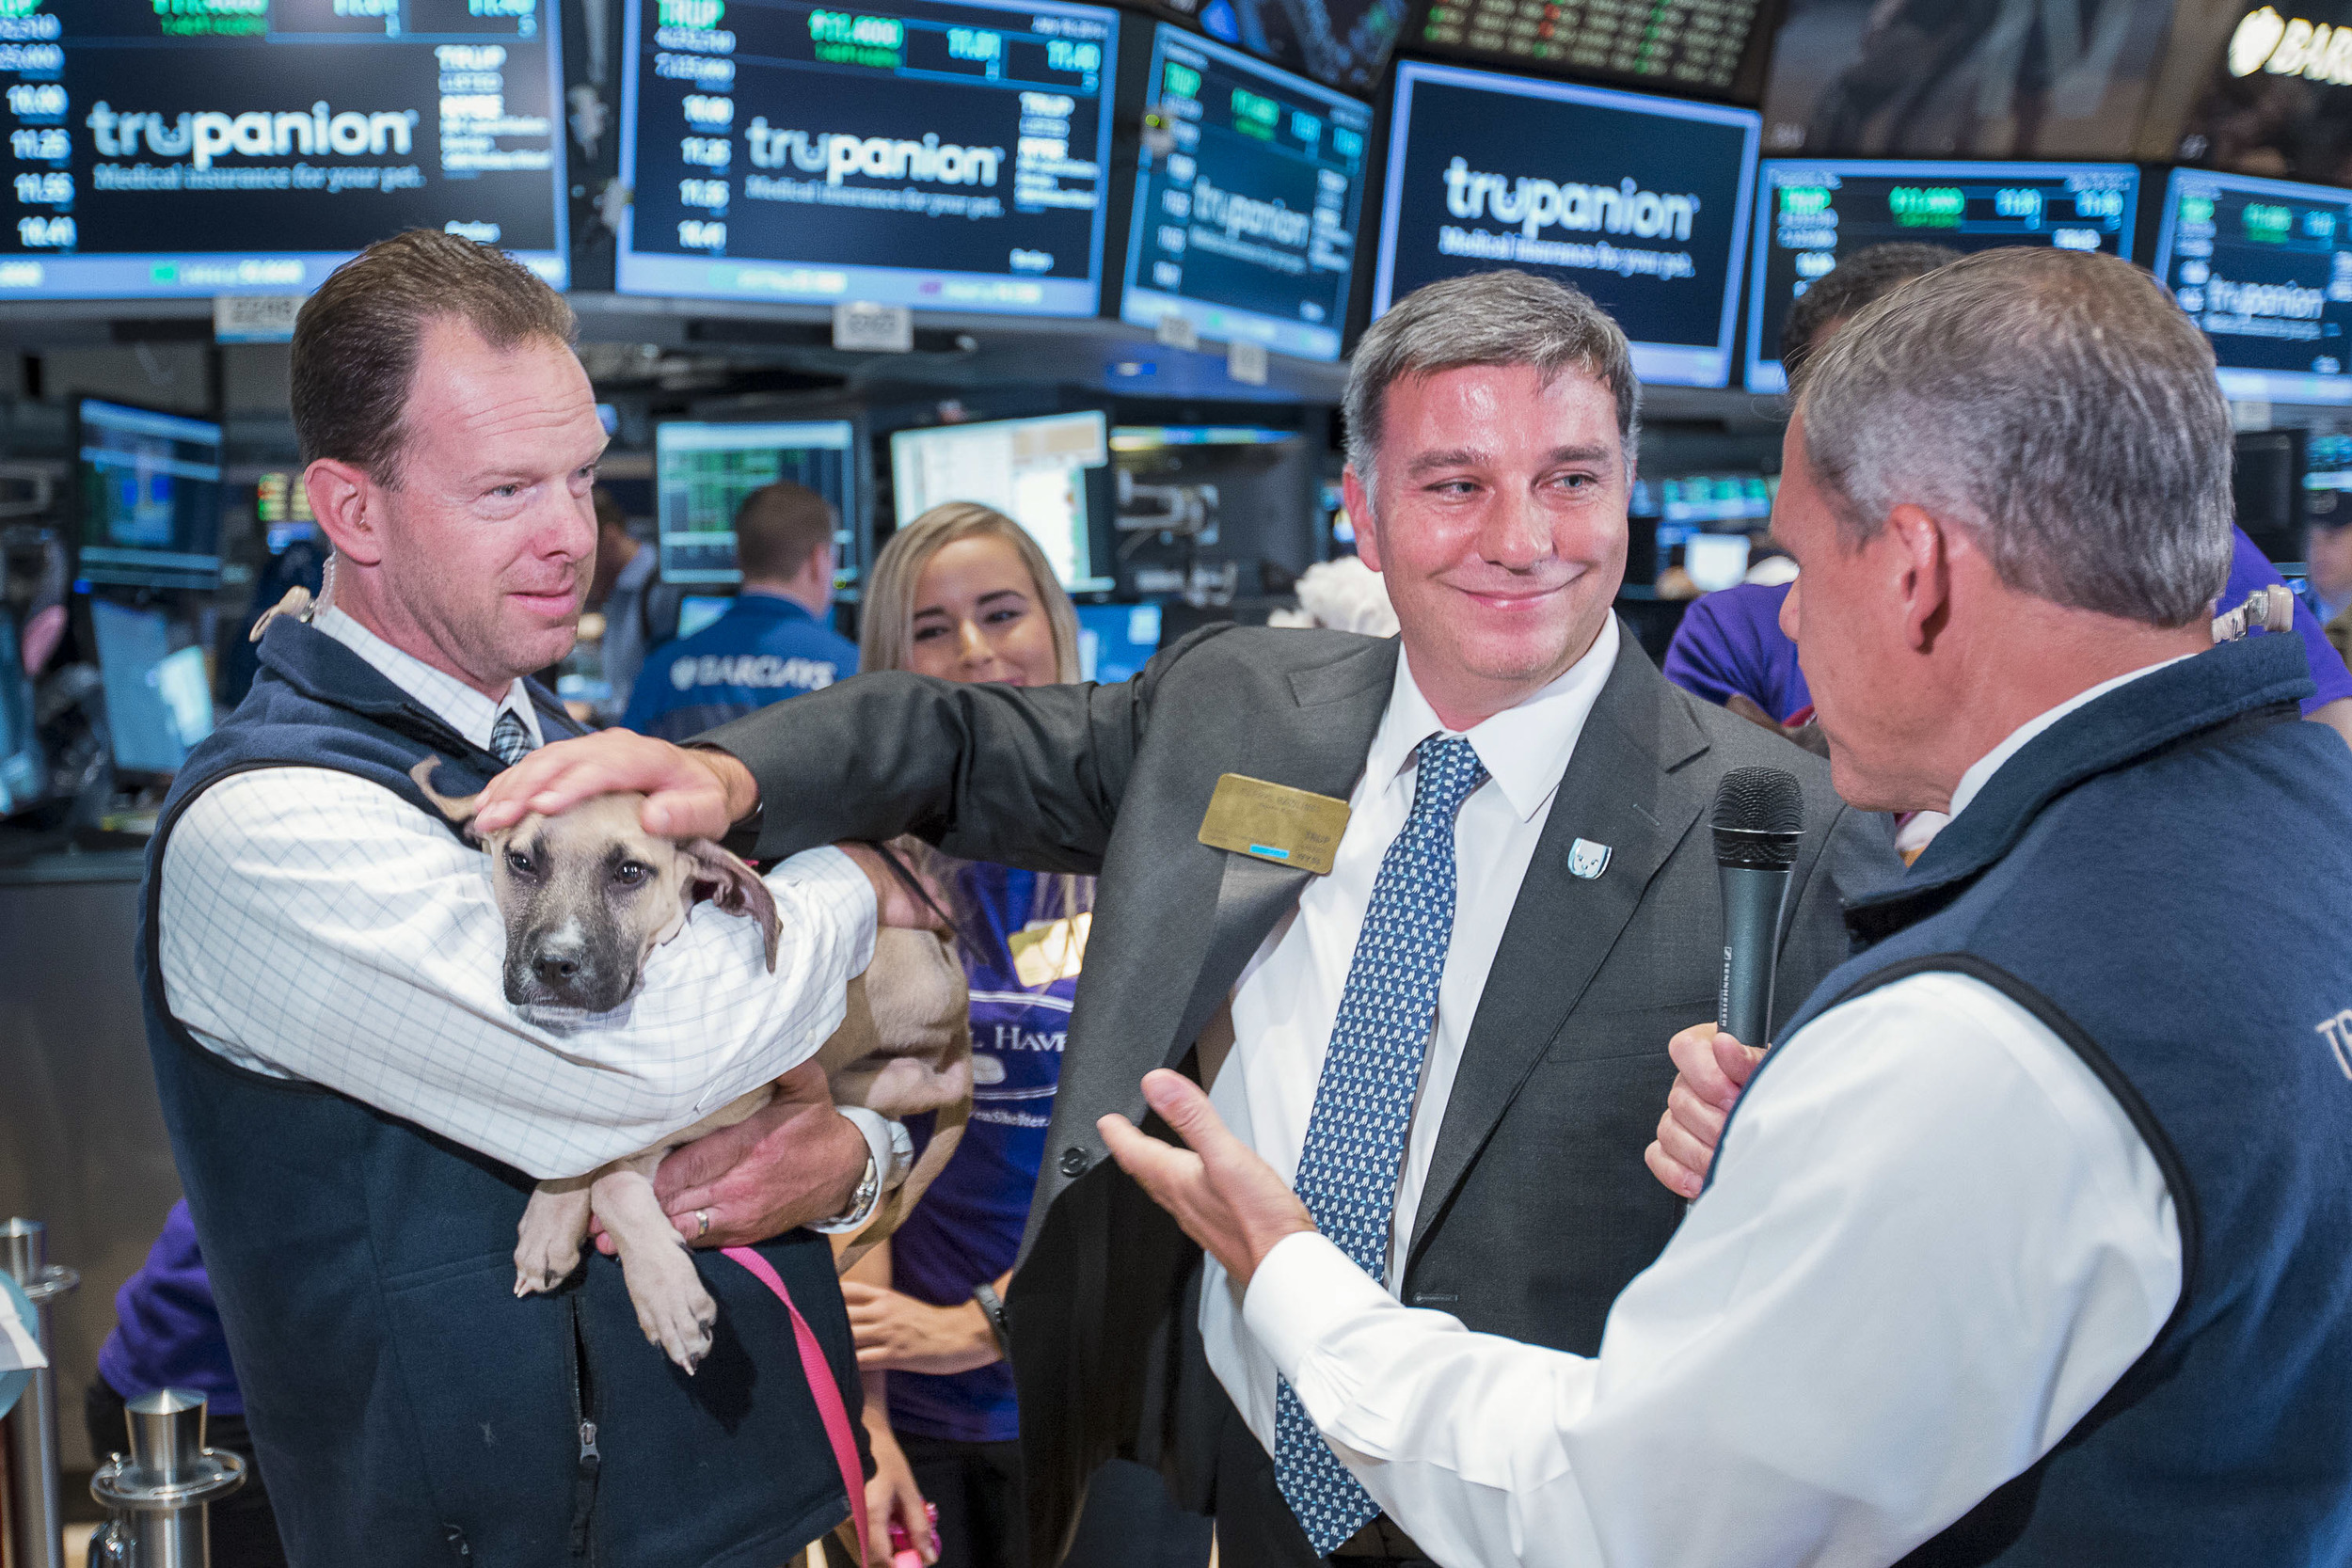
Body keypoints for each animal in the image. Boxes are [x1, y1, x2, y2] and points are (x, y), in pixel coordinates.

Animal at [416, 761, 974, 1372]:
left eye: (630, 873)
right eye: (521, 861)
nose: (556, 966)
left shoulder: (720, 1102)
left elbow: (612, 1179)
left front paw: (668, 1298)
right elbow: (584, 1149)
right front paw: (551, 1223)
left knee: (946, 1079)